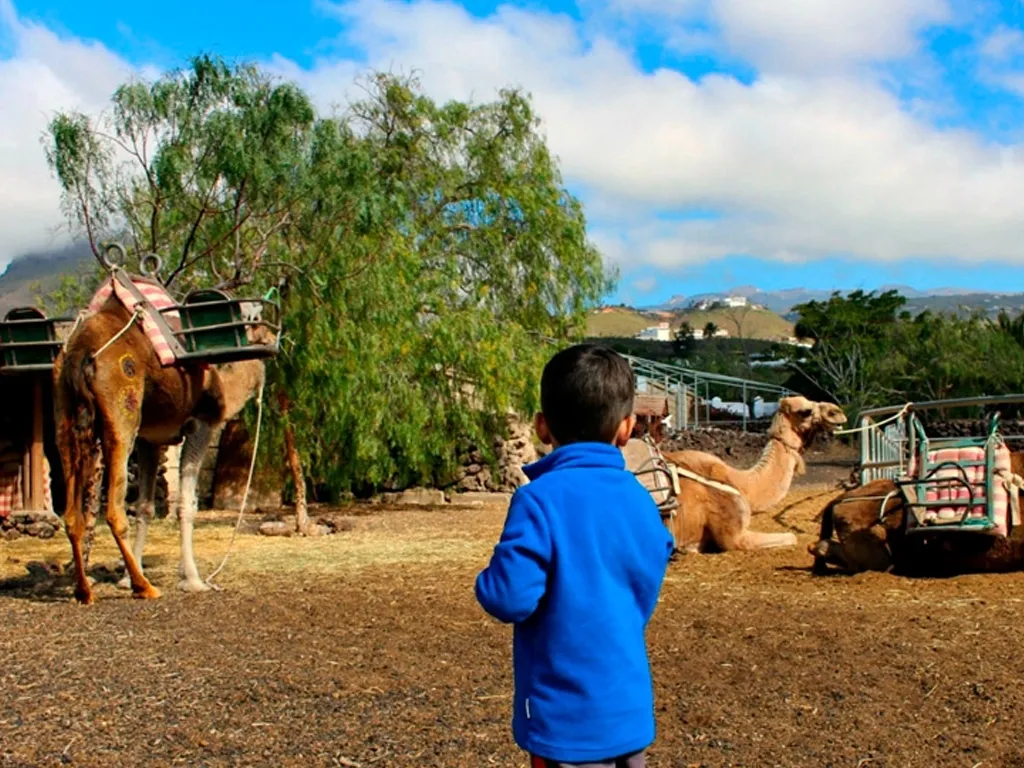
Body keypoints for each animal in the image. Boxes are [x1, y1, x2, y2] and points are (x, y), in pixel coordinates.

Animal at [55, 289, 269, 604]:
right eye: (254, 317)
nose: (271, 336)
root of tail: (82, 351)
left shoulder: (150, 440)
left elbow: (145, 506)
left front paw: (124, 578)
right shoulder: (201, 424)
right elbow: (186, 504)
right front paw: (193, 579)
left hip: (64, 414)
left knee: (72, 513)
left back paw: (84, 590)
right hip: (122, 413)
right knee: (114, 509)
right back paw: (144, 587)